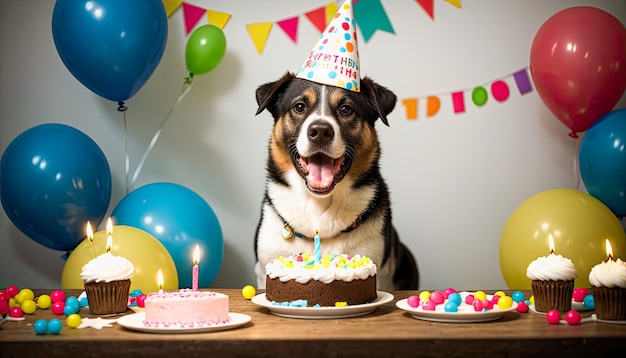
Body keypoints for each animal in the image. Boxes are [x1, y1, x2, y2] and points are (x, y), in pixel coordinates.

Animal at [251, 72, 416, 290]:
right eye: (299, 106)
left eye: (346, 109)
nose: (320, 131)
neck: (319, 203)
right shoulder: (263, 270)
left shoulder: (379, 270)